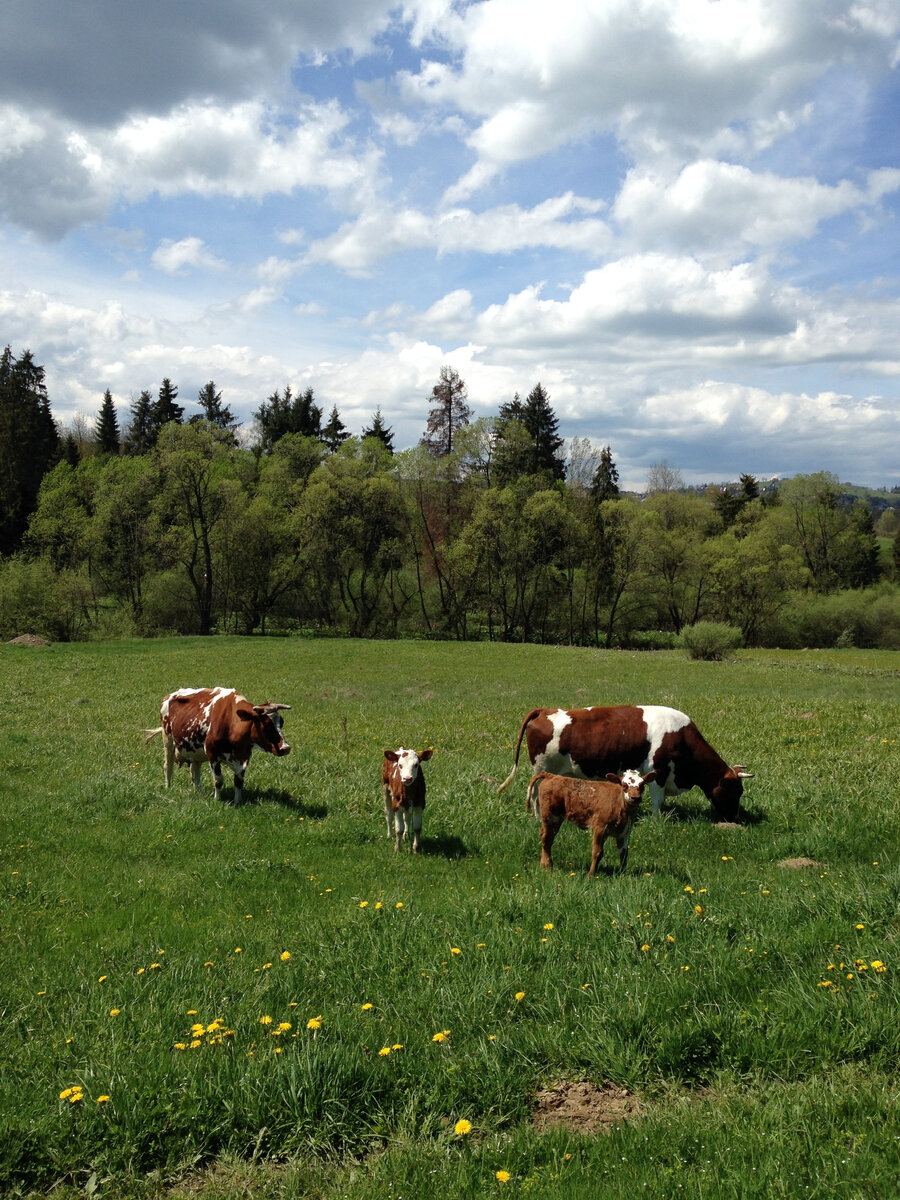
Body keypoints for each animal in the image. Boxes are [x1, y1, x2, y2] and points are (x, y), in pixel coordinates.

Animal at [144, 686, 290, 806]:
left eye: (282, 722)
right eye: (267, 725)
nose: (286, 748)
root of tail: (170, 695)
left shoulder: (244, 756)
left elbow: (239, 781)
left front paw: (238, 801)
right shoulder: (212, 754)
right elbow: (218, 780)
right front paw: (217, 800)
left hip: (194, 750)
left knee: (194, 771)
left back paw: (198, 791)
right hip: (168, 739)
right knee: (167, 766)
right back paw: (168, 787)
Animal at [496, 705, 748, 820]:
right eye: (735, 791)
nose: (736, 818)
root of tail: (545, 710)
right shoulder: (658, 770)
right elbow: (658, 802)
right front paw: (658, 821)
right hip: (541, 771)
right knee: (535, 796)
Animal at [525, 768, 657, 873]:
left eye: (642, 785)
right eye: (624, 785)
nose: (635, 798)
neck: (621, 809)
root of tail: (552, 775)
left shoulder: (625, 832)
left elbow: (623, 853)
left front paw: (622, 873)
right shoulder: (599, 827)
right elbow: (597, 852)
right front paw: (591, 874)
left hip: (556, 819)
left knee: (549, 838)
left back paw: (545, 864)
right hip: (550, 816)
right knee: (546, 838)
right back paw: (548, 866)